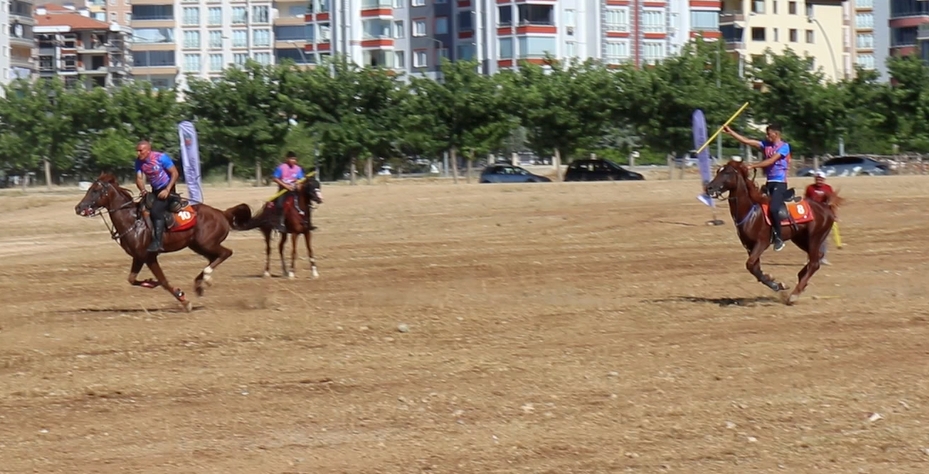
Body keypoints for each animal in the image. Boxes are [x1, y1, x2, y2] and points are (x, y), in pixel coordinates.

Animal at [75, 172, 252, 312]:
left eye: (95, 190)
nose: (78, 208)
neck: (132, 221)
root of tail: (223, 213)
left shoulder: (149, 256)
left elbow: (163, 281)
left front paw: (183, 300)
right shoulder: (138, 257)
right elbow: (132, 279)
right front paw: (150, 282)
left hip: (207, 243)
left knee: (226, 253)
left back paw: (206, 279)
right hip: (197, 245)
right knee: (213, 258)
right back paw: (199, 284)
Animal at [708, 161, 844, 306]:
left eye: (727, 172)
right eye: (718, 171)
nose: (709, 188)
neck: (752, 212)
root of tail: (826, 207)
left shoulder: (762, 243)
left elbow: (750, 264)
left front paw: (776, 284)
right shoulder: (749, 246)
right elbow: (755, 269)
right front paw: (777, 284)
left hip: (815, 237)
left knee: (814, 263)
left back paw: (794, 294)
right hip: (801, 239)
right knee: (818, 257)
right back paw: (801, 278)